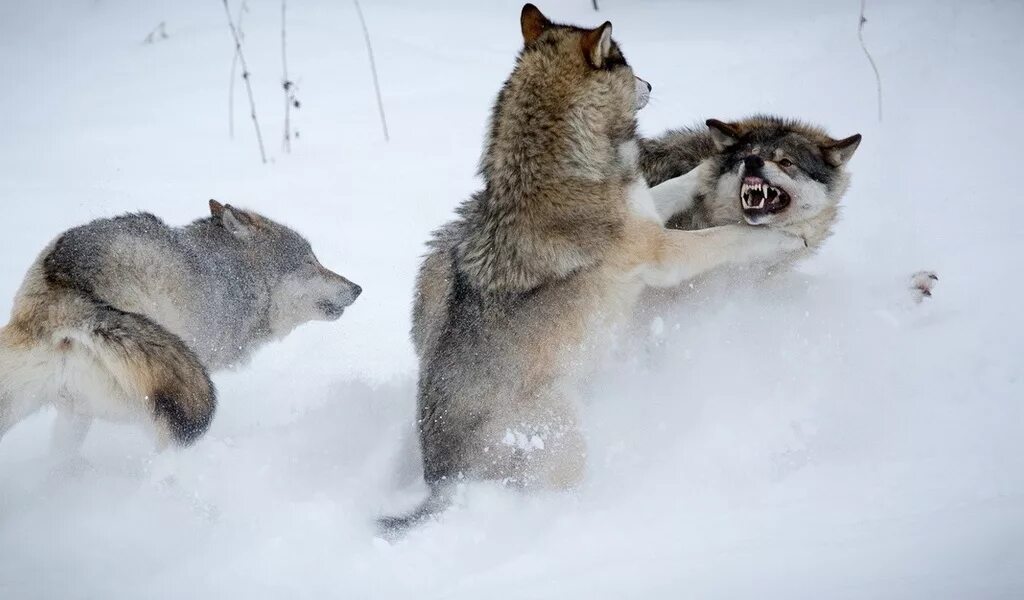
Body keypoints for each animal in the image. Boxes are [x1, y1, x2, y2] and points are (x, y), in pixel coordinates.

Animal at [380, 5, 802, 532]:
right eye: (626, 62)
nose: (650, 82)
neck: (560, 164)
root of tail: (442, 480)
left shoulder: (646, 211)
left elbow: (677, 185)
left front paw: (708, 166)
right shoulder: (662, 253)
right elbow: (728, 237)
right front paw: (779, 238)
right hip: (566, 438)